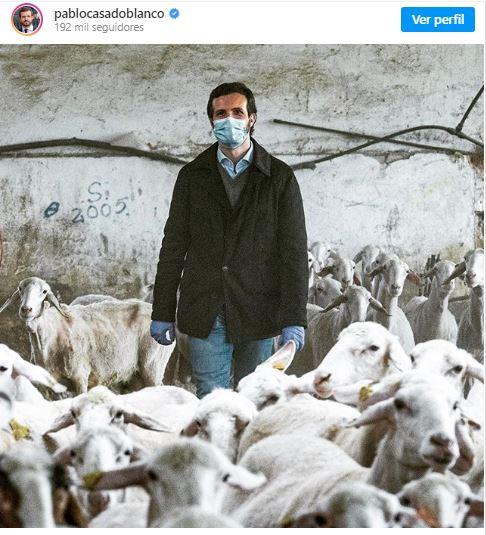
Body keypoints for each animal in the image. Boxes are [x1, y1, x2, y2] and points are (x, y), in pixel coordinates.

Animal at [0, 278, 175, 396]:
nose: (26, 309)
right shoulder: (47, 387)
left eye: (44, 292)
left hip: (153, 366)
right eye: (20, 288)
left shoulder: (80, 377)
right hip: (134, 376)